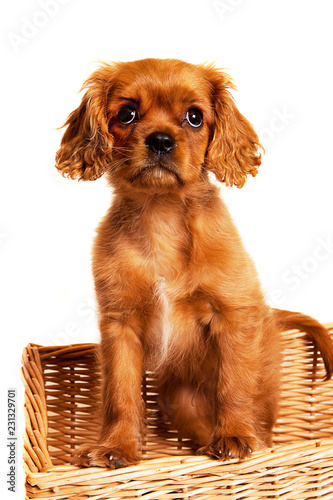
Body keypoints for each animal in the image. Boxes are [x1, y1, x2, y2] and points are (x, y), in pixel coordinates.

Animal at [55, 58, 332, 468]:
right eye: (126, 113)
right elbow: (120, 393)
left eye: (194, 117)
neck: (162, 212)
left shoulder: (232, 315)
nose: (160, 140)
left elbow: (233, 385)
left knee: (261, 424)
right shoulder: (120, 324)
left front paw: (235, 436)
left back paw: (246, 440)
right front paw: (115, 447)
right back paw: (202, 448)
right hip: (178, 401)